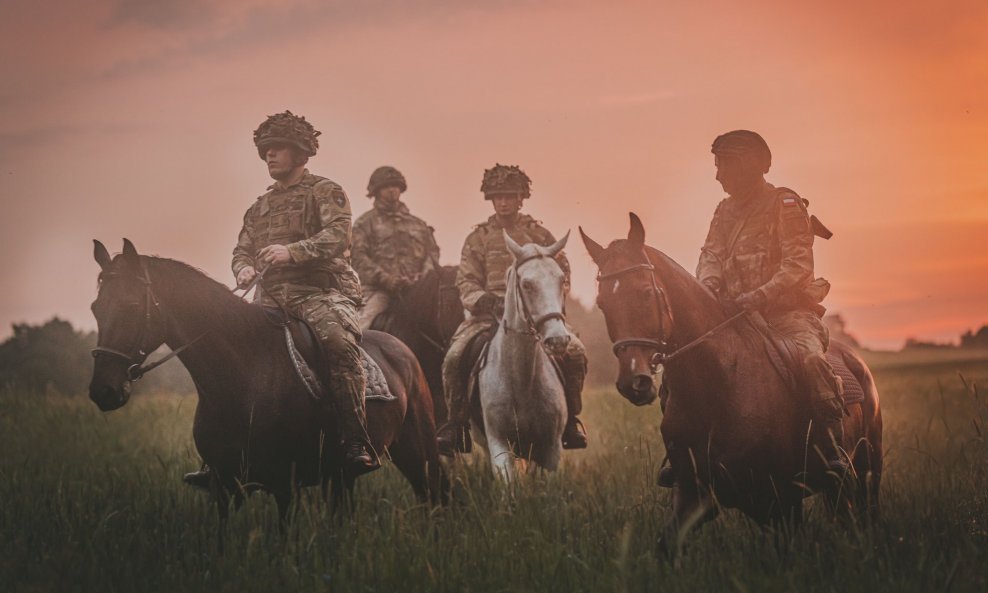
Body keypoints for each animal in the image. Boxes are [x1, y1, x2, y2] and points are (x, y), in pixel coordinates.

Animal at [89, 238, 448, 524]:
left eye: (132, 304)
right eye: (95, 307)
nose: (103, 391)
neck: (243, 376)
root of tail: (404, 351)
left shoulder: (284, 484)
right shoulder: (223, 484)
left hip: (418, 452)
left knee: (433, 497)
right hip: (341, 475)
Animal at [474, 229, 576, 478]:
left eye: (562, 280)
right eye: (527, 284)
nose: (558, 340)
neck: (521, 379)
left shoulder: (550, 448)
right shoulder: (499, 444)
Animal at [576, 214, 884, 556]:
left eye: (645, 292)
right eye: (603, 303)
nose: (634, 381)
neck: (717, 386)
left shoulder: (777, 496)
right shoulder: (694, 492)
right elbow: (667, 544)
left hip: (865, 471)